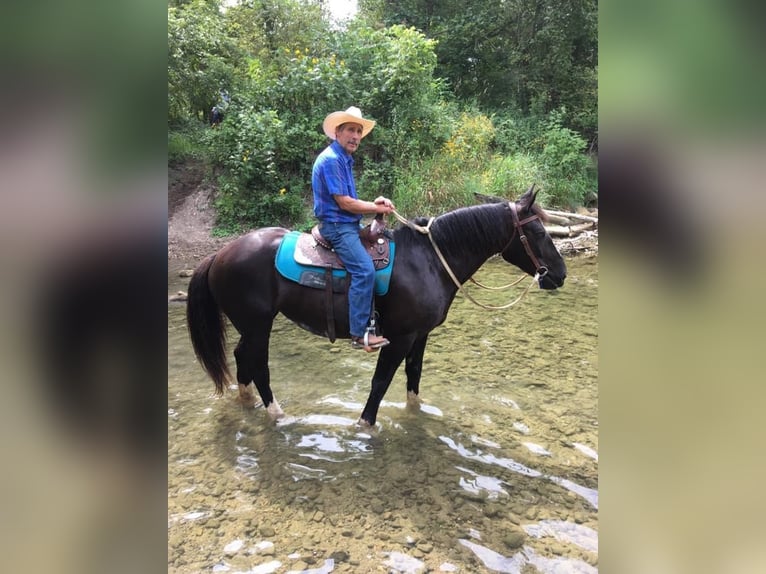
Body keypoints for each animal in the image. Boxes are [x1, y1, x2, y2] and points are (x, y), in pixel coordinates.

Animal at [188, 189, 568, 428]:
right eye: (538, 231)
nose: (560, 274)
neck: (429, 261)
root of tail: (218, 254)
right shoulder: (399, 337)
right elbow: (380, 383)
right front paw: (365, 425)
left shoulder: (420, 335)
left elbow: (414, 377)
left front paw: (416, 416)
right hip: (258, 325)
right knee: (258, 365)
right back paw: (277, 414)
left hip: (250, 326)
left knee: (241, 358)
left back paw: (248, 403)